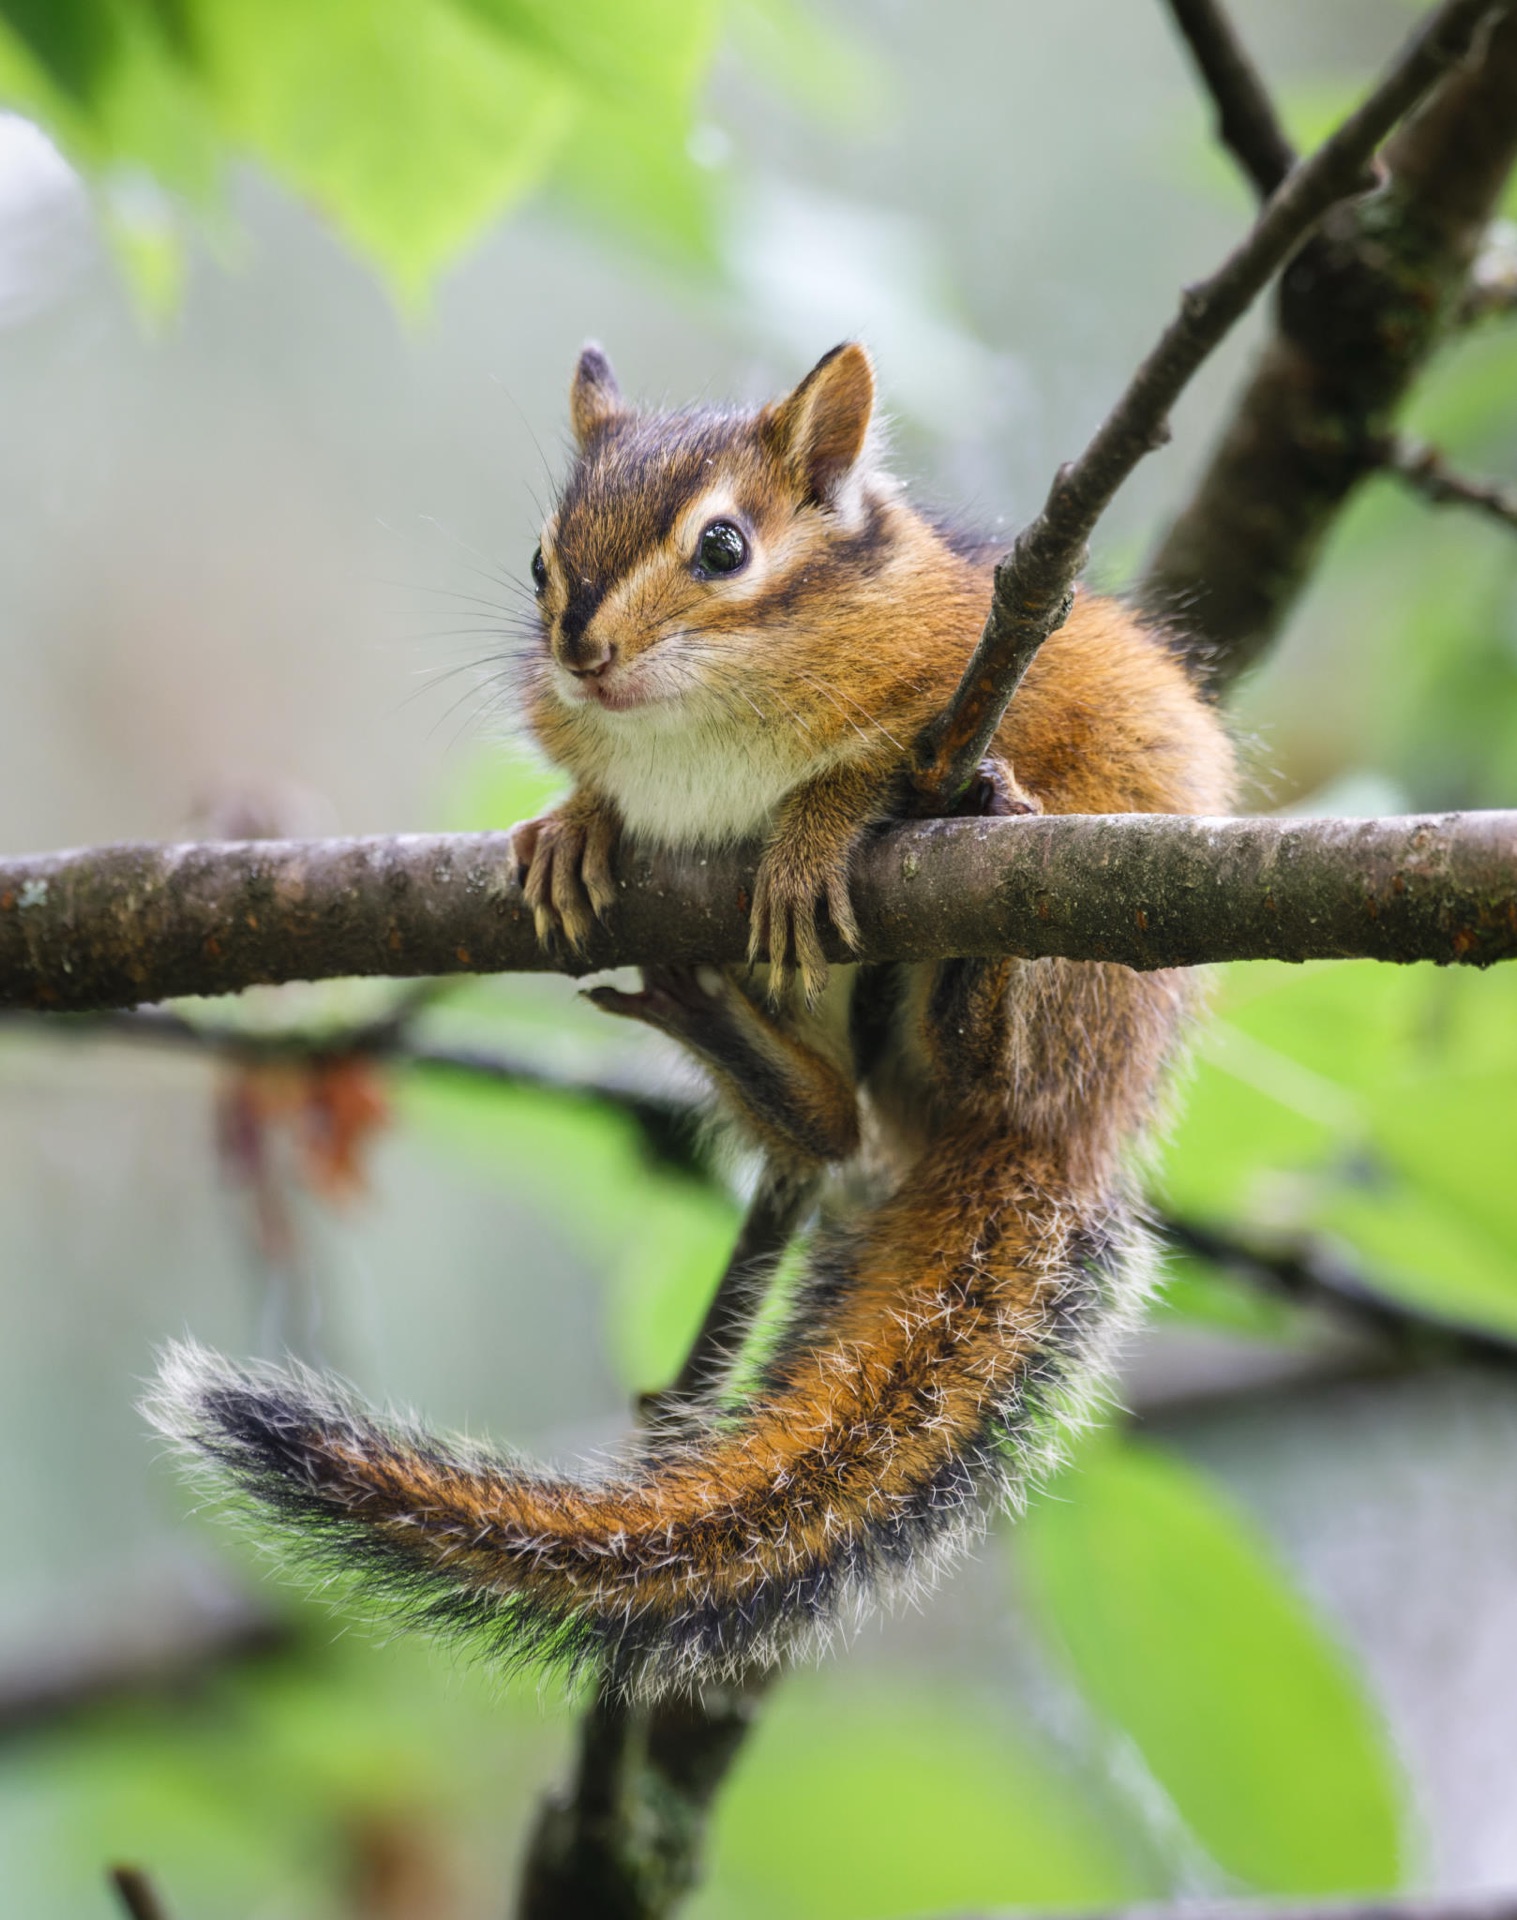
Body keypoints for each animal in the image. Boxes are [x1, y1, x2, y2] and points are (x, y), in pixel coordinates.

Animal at [148, 342, 1236, 1699]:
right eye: (538, 561)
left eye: (722, 548)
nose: (580, 651)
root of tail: (1071, 1145)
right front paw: (574, 827)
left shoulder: (971, 674)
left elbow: (867, 768)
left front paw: (814, 825)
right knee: (832, 1127)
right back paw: (716, 1023)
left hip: (1090, 961)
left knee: (1002, 1055)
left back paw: (974, 960)